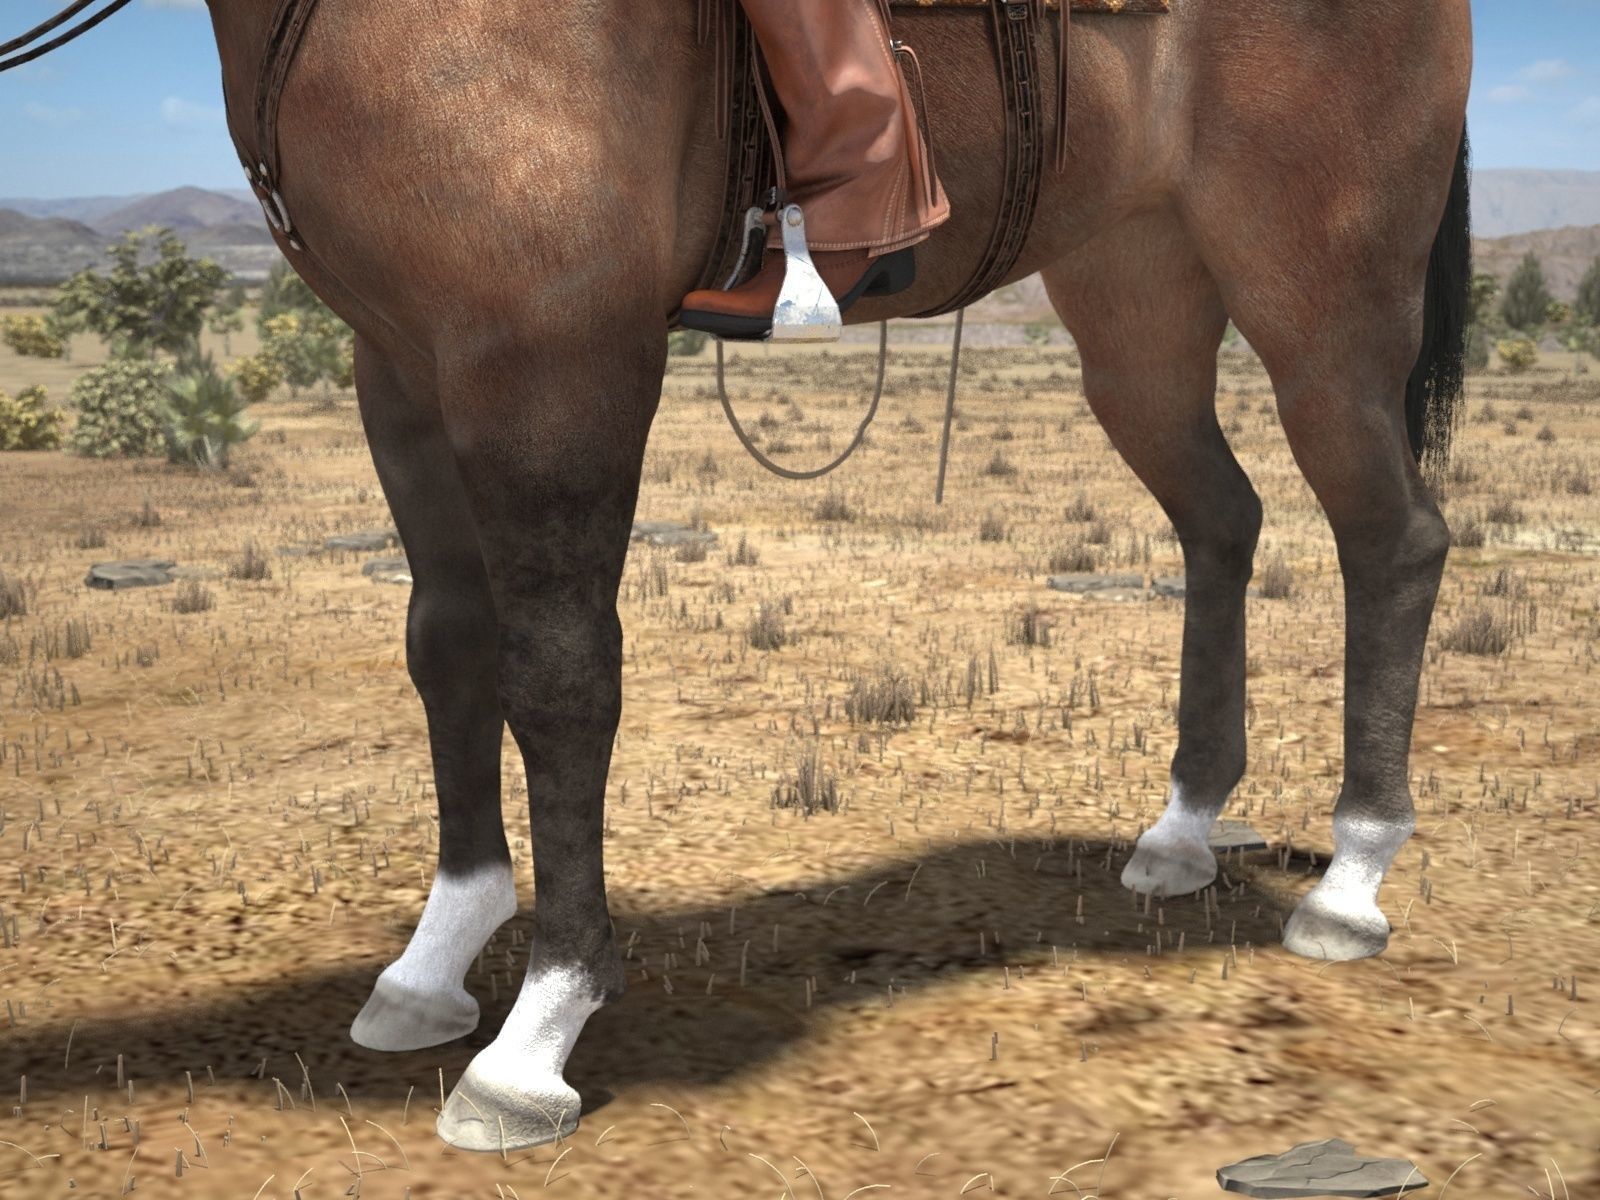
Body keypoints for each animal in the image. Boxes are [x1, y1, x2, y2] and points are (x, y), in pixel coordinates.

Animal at [181, 0, 1475, 1153]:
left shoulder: (553, 363)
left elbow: (558, 677)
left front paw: (536, 1036)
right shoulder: (400, 365)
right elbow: (447, 647)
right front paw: (434, 963)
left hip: (1319, 299)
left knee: (1393, 538)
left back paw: (1351, 880)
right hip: (1137, 297)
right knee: (1222, 520)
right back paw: (1183, 829)